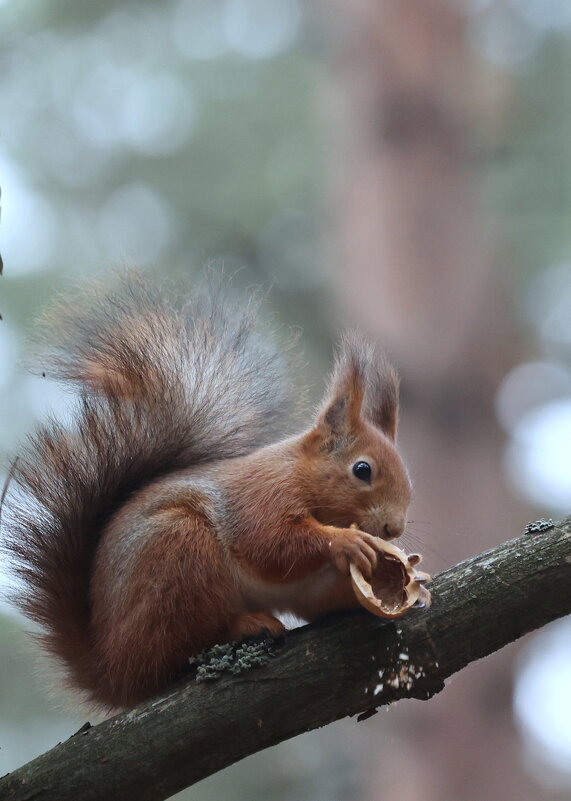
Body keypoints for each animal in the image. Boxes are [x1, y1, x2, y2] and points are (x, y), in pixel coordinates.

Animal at [6, 274, 414, 708]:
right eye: (362, 470)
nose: (393, 529)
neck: (300, 475)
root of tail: (112, 674)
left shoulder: (308, 586)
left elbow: (319, 596)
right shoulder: (261, 496)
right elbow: (271, 544)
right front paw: (345, 542)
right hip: (177, 549)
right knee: (175, 651)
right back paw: (243, 626)